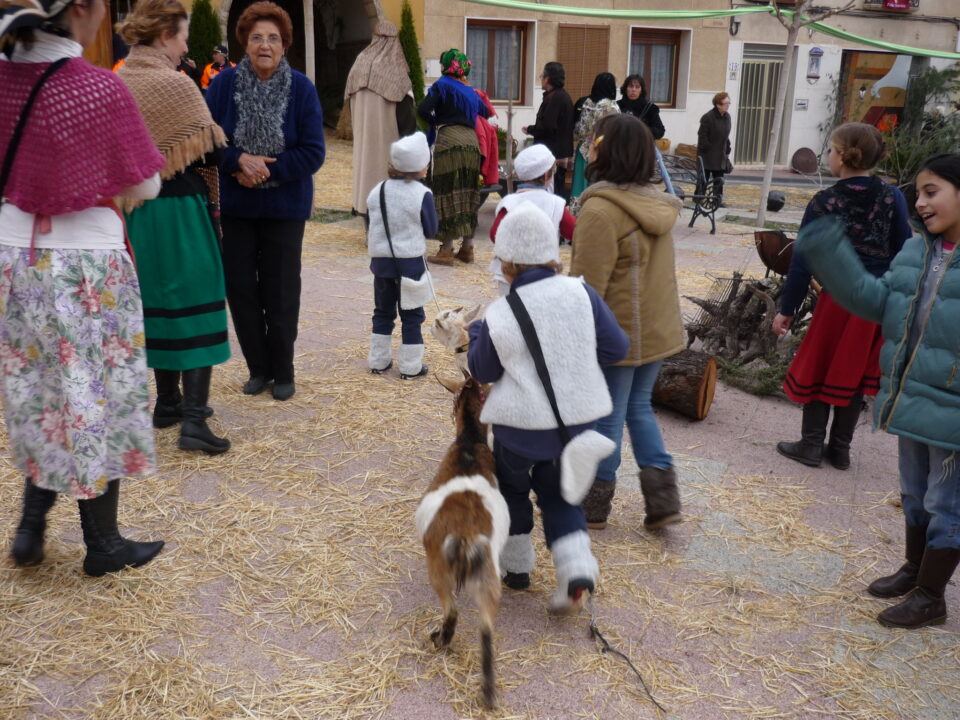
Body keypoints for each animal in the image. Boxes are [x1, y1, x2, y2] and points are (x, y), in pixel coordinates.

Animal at [416, 376, 512, 708]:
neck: (469, 443)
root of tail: (465, 535)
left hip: (438, 568)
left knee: (452, 610)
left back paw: (439, 639)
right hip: (488, 577)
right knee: (486, 629)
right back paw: (488, 691)